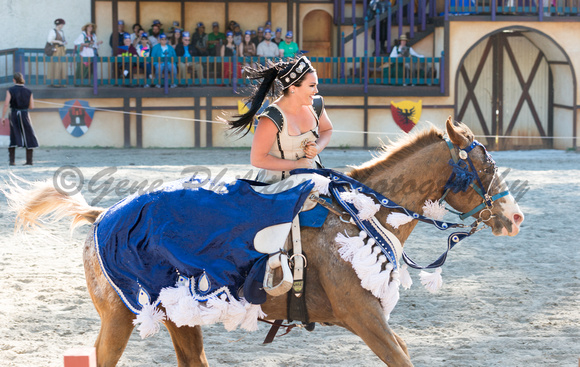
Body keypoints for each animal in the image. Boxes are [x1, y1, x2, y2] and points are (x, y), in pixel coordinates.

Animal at [7, 118, 524, 367]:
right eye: (485, 165)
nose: (515, 216)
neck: (362, 214)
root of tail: (102, 215)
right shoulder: (364, 317)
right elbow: (400, 356)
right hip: (119, 318)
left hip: (178, 316)